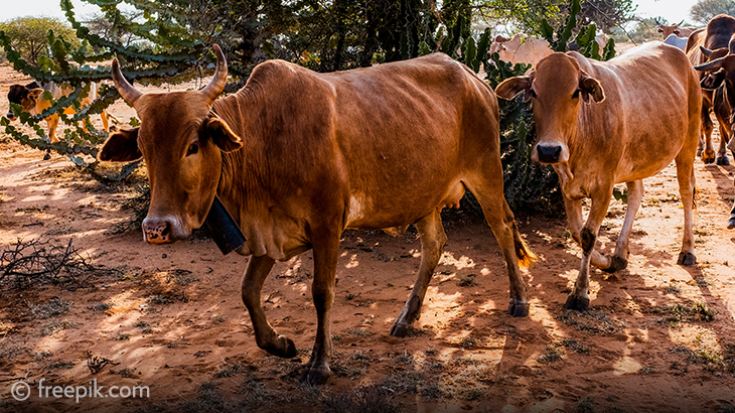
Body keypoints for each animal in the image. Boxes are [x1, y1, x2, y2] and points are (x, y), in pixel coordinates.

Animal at [494, 43, 700, 310]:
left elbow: (588, 235)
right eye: (534, 92)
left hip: (688, 145)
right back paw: (620, 253)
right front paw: (608, 262)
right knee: (636, 195)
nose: (549, 150)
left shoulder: (605, 186)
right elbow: (576, 232)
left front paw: (580, 293)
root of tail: (681, 57)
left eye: (575, 92)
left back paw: (688, 250)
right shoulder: (567, 186)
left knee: (687, 193)